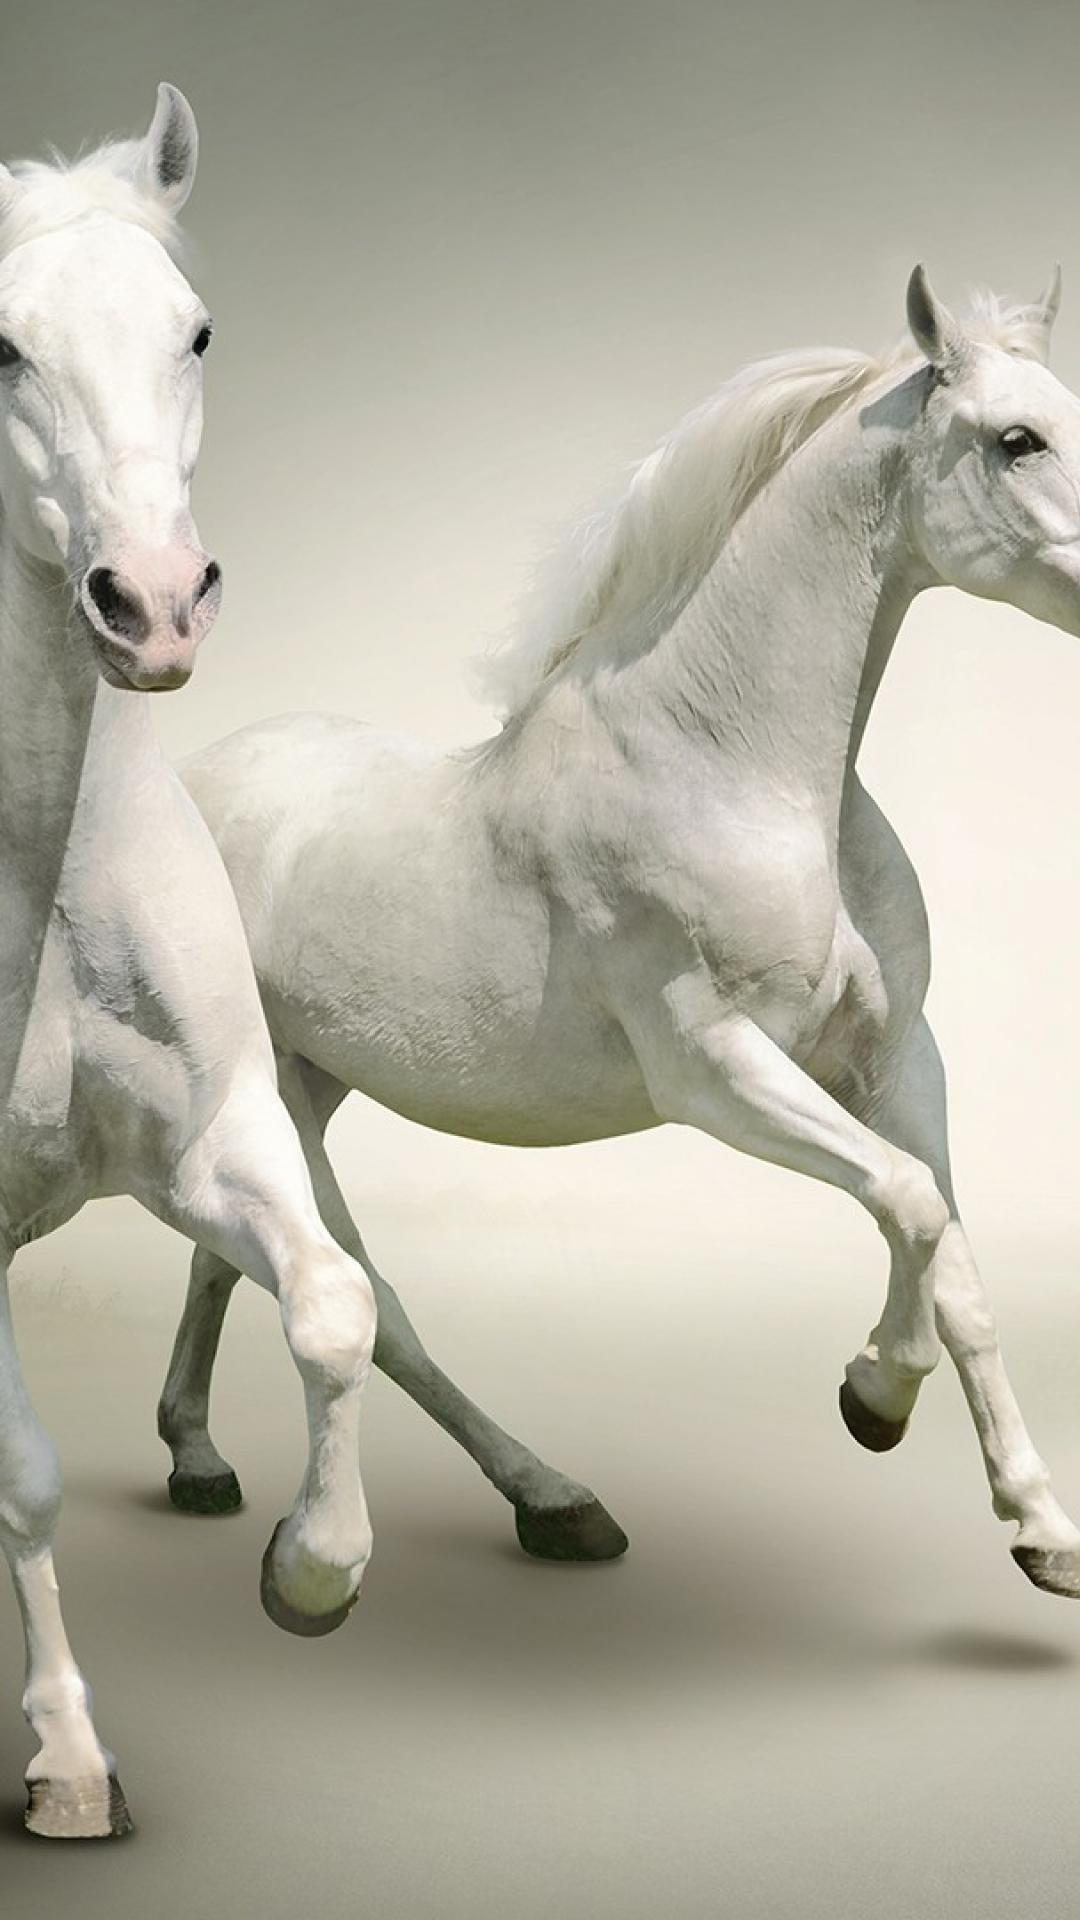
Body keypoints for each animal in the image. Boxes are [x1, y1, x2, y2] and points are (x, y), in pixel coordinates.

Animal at [164, 265, 1080, 1609]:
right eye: (1018, 439)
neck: (733, 766)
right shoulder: (716, 1070)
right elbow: (913, 1207)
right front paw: (884, 1402)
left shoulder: (898, 1056)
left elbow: (953, 1255)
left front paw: (1030, 1519)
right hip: (271, 1096)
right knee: (359, 1295)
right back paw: (535, 1503)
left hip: (302, 1087)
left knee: (229, 1259)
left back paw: (202, 1460)